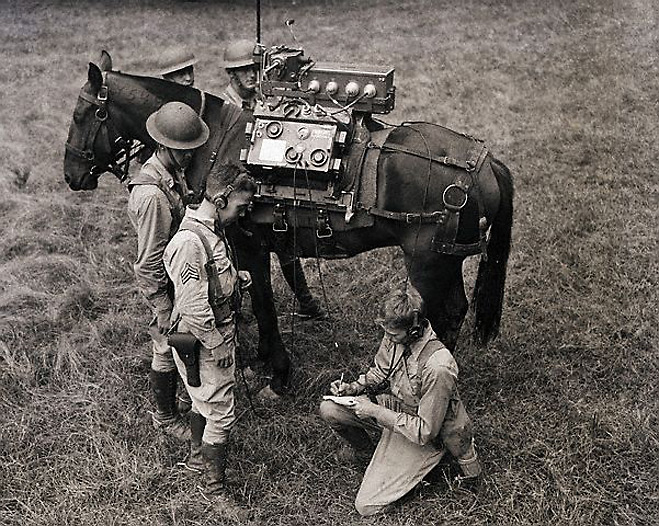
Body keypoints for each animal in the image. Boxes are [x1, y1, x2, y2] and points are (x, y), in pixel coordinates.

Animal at [63, 51, 516, 396]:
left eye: (83, 114)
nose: (71, 174)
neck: (217, 142)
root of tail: (483, 161)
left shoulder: (249, 245)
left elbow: (264, 303)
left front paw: (278, 370)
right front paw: (266, 358)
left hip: (426, 262)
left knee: (439, 315)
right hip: (446, 259)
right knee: (455, 310)